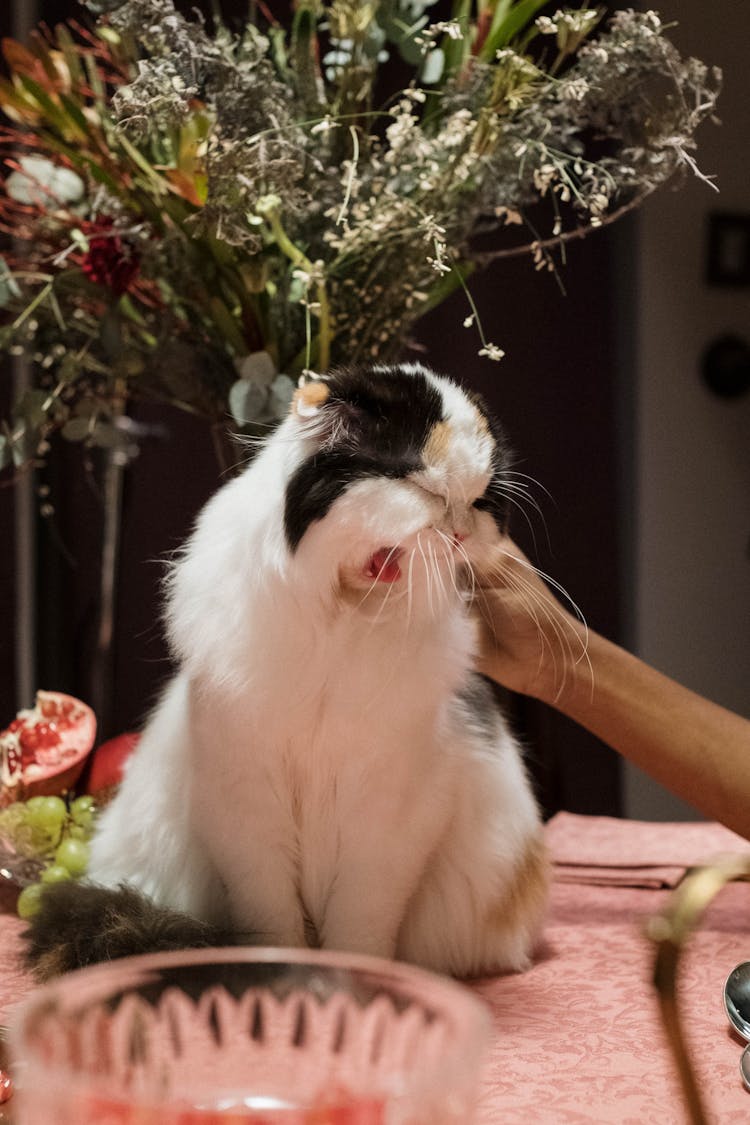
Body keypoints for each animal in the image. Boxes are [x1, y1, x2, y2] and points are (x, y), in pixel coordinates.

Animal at [26, 364, 548, 981]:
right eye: (426, 491)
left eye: (479, 502)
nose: (462, 532)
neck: (340, 618)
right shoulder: (246, 804)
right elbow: (273, 919)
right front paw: (280, 979)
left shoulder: (391, 818)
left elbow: (360, 927)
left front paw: (354, 986)